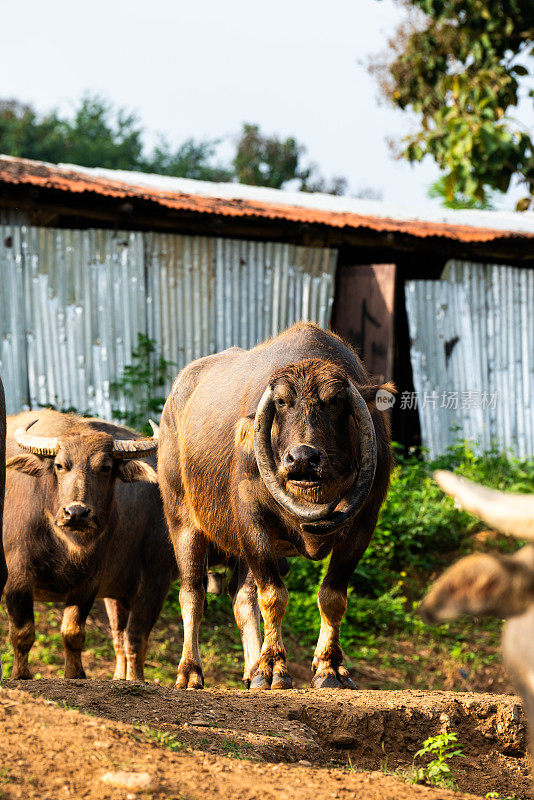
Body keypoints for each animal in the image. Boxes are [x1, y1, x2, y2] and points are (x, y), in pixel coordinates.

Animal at [159, 322, 394, 692]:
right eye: (282, 401)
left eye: (336, 401)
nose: (302, 458)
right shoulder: (251, 522)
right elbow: (273, 596)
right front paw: (273, 669)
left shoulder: (363, 525)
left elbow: (333, 597)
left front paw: (330, 668)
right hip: (182, 519)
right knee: (193, 593)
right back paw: (190, 671)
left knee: (241, 598)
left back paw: (250, 668)